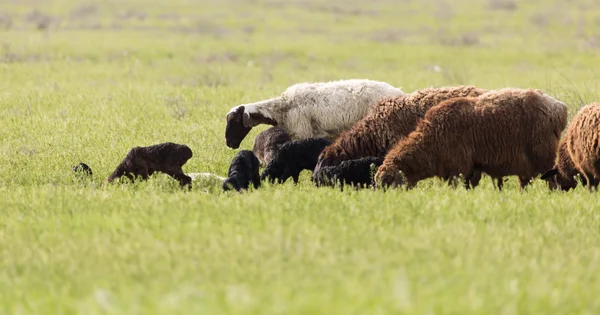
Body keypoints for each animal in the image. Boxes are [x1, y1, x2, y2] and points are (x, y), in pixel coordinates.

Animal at [376, 88, 568, 190]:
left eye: (387, 181)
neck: (431, 138)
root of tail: (559, 107)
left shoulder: (458, 169)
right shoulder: (471, 169)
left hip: (543, 158)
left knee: (553, 182)